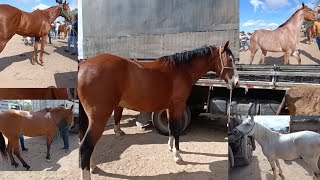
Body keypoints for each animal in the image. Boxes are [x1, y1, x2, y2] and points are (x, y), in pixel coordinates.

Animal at [78, 41, 240, 179]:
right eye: (230, 59)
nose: (236, 83)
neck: (181, 70)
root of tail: (84, 65)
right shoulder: (178, 105)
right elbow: (176, 129)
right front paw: (177, 156)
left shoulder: (170, 107)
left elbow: (170, 127)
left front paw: (170, 148)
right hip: (99, 118)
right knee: (86, 147)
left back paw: (93, 166)